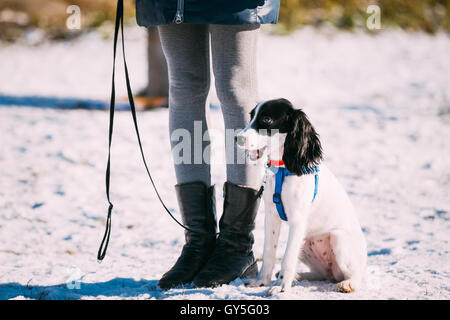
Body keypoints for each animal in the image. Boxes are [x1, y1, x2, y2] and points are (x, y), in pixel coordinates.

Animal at [236, 98, 366, 296]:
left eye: (266, 119)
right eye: (251, 116)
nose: (237, 138)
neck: (283, 169)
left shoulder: (297, 221)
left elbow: (288, 257)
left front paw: (281, 287)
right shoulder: (271, 216)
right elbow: (269, 252)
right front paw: (262, 281)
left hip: (338, 240)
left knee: (357, 276)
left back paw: (347, 284)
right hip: (306, 243)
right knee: (322, 274)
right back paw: (300, 277)